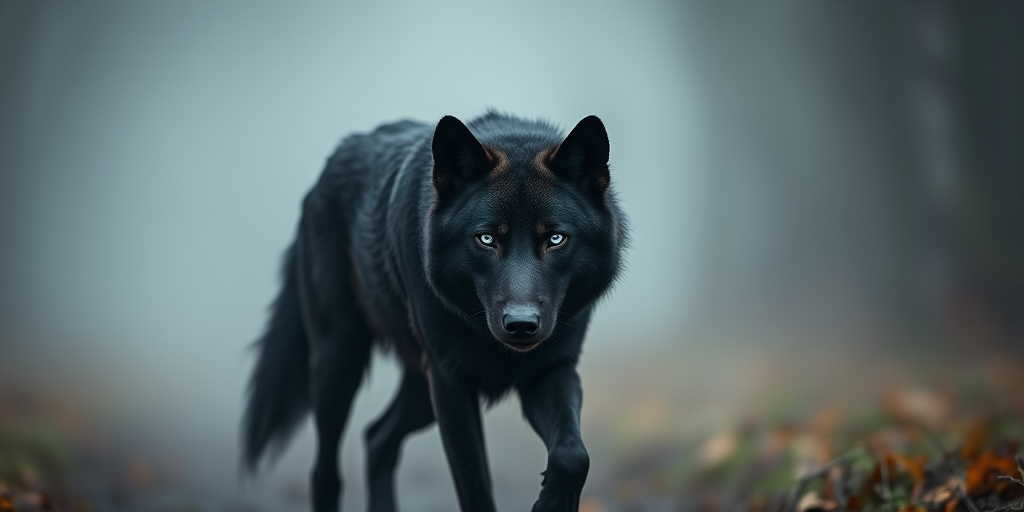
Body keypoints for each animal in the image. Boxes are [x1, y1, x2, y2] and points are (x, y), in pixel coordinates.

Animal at [242, 111, 627, 512]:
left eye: (555, 238)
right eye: (486, 238)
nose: (521, 325)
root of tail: (325, 171)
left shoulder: (550, 371)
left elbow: (573, 454)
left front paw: (552, 503)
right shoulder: (451, 386)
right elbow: (475, 489)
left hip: (419, 392)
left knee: (377, 438)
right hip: (340, 366)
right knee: (325, 472)